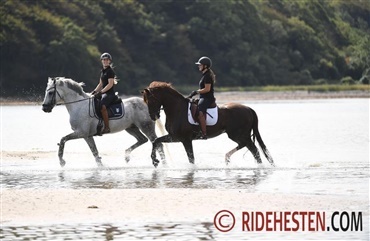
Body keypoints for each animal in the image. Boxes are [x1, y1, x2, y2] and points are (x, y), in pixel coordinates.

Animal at [142, 81, 274, 168]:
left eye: (151, 100)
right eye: (146, 101)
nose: (153, 116)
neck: (177, 109)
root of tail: (248, 109)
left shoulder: (185, 139)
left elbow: (191, 158)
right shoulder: (174, 137)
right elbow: (156, 141)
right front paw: (155, 161)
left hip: (238, 134)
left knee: (253, 149)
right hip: (237, 135)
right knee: (247, 146)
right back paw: (228, 158)